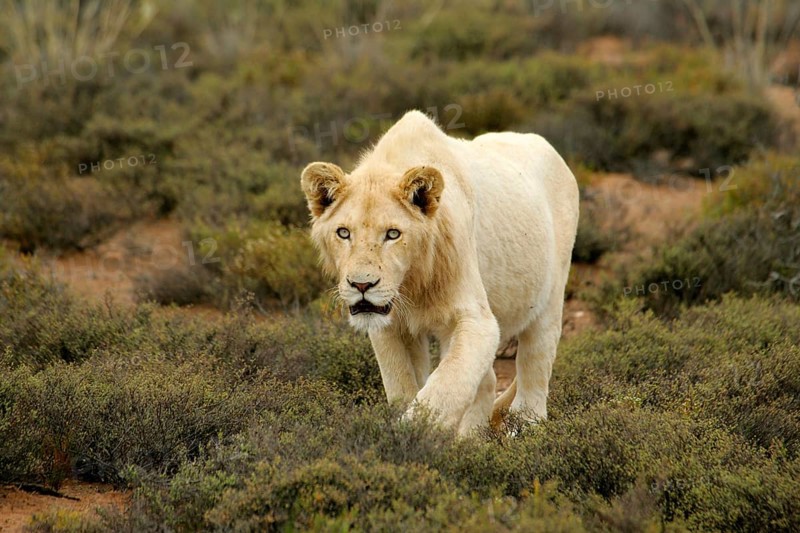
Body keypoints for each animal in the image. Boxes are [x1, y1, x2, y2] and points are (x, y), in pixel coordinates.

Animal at [301, 110, 579, 434]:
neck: (411, 284)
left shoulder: (476, 319)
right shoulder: (389, 327)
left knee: (534, 363)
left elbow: (445, 386)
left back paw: (525, 427)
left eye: (393, 234)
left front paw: (410, 435)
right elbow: (401, 384)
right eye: (343, 232)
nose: (361, 285)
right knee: (487, 381)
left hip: (551, 295)